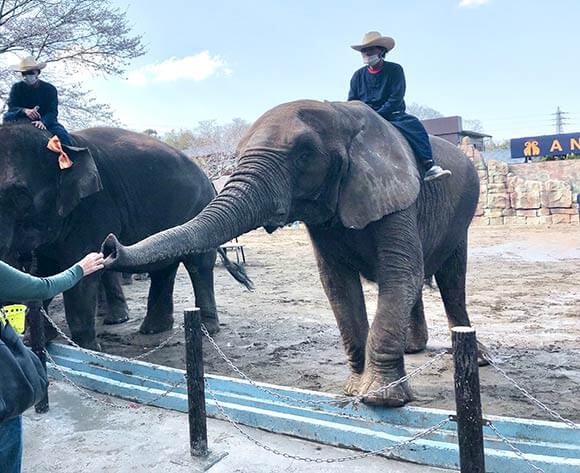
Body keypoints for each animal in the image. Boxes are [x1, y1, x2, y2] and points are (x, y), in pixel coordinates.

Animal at [0, 121, 250, 350]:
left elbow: (80, 274)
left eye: (19, 196)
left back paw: (207, 328)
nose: (111, 246)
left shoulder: (94, 209)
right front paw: (38, 340)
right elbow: (45, 272)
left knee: (198, 265)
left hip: (199, 206)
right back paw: (153, 330)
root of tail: (210, 180)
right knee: (164, 268)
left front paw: (88, 350)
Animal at [104, 100, 480, 406]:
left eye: (305, 154)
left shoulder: (397, 193)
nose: (109, 246)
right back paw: (413, 349)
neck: (341, 112)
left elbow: (399, 272)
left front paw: (380, 399)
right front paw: (352, 391)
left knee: (451, 279)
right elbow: (337, 283)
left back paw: (475, 357)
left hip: (462, 213)